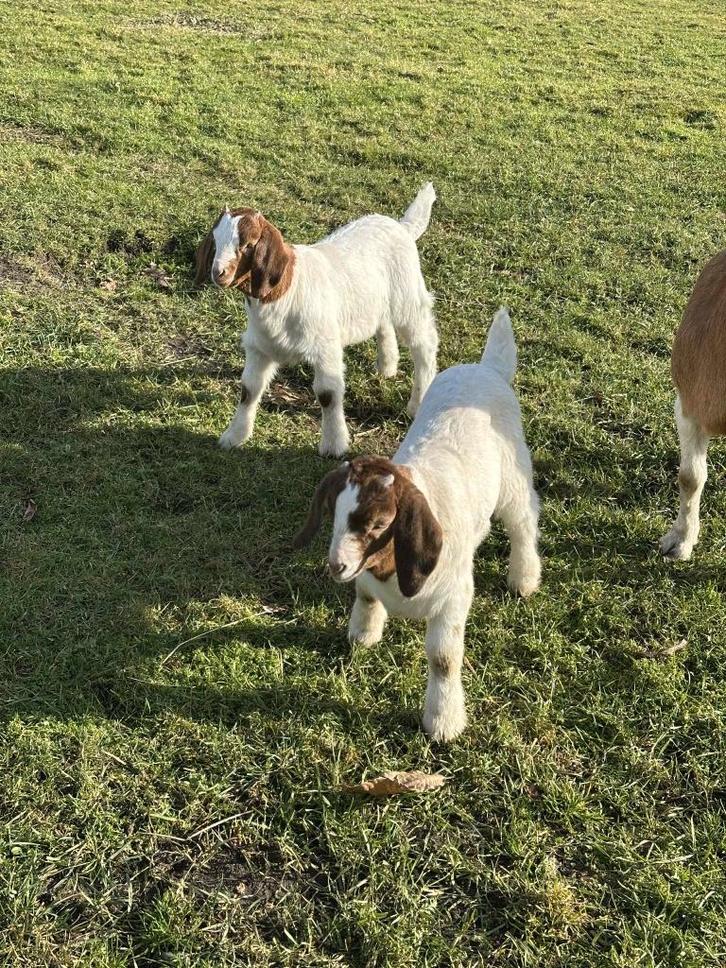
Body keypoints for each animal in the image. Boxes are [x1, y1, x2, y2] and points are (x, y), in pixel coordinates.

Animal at [195, 185, 439, 457]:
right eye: (215, 240)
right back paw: (386, 367)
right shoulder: (260, 347)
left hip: (408, 297)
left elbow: (327, 394)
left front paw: (334, 445)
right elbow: (249, 389)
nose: (218, 273)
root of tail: (402, 227)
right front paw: (234, 436)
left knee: (424, 343)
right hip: (377, 300)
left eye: (248, 245)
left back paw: (418, 402)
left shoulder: (325, 347)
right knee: (384, 324)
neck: (288, 290)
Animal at [294, 308, 542, 742]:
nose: (336, 566)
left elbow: (443, 658)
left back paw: (524, 579)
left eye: (379, 525)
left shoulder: (453, 599)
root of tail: (484, 368)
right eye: (333, 514)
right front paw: (364, 635)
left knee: (524, 523)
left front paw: (442, 722)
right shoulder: (366, 577)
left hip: (513, 478)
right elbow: (367, 597)